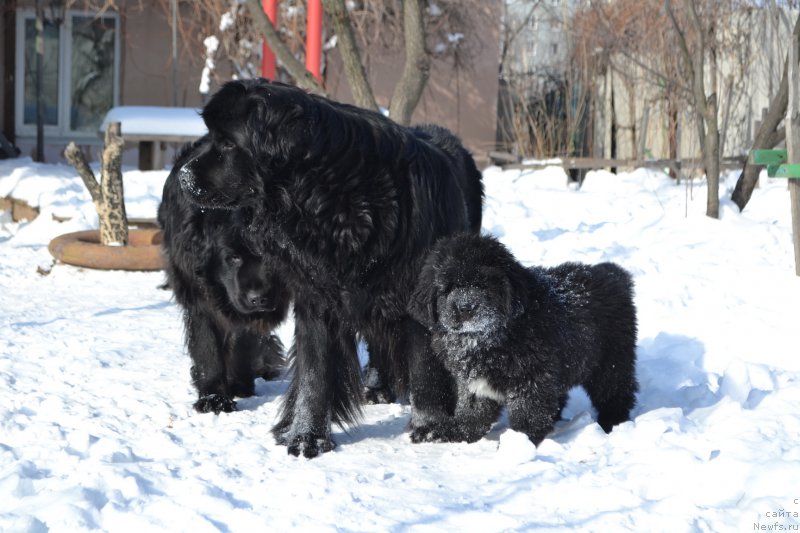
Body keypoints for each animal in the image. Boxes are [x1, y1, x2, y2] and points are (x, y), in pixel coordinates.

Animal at [158, 139, 292, 414]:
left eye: (269, 256)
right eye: (233, 258)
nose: (258, 298)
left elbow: (243, 340)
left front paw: (240, 384)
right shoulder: (198, 293)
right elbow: (208, 345)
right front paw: (214, 397)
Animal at [177, 79, 484, 458]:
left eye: (228, 143)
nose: (183, 176)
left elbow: (425, 368)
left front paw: (430, 429)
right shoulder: (317, 298)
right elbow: (315, 372)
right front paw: (306, 436)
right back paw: (376, 387)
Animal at [410, 233, 640, 444]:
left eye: (483, 284)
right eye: (446, 288)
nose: (466, 307)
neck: (485, 339)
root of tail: (612, 273)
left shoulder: (531, 377)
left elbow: (528, 413)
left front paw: (519, 441)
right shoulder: (473, 380)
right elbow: (473, 410)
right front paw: (454, 432)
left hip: (611, 360)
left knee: (616, 393)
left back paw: (612, 424)